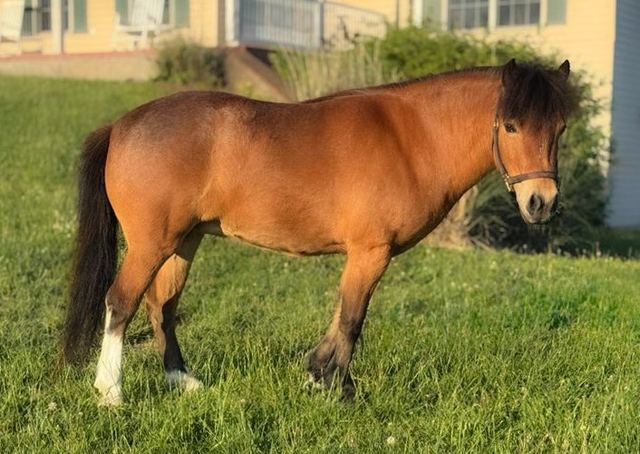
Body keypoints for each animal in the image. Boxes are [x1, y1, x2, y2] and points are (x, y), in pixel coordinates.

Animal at [63, 59, 575, 405]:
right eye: (510, 125)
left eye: (560, 128)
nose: (541, 203)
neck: (412, 137)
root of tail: (121, 125)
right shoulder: (371, 251)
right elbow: (351, 320)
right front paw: (340, 388)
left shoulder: (363, 255)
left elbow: (342, 317)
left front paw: (316, 374)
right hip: (152, 244)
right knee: (121, 302)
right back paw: (110, 392)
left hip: (183, 242)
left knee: (162, 307)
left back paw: (183, 382)